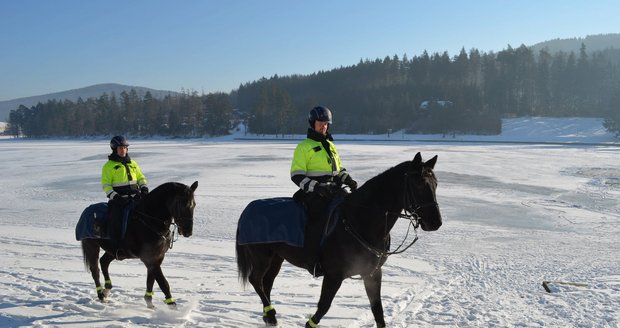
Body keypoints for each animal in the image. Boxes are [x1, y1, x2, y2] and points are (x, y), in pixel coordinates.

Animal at [235, 154, 444, 328]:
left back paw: (269, 316)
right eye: (419, 184)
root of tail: (248, 209)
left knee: (267, 282)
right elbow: (323, 306)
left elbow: (378, 311)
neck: (360, 220)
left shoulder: (372, 274)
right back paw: (270, 315)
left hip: (277, 258)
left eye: (435, 183)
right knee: (256, 280)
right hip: (262, 256)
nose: (436, 222)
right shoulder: (334, 275)